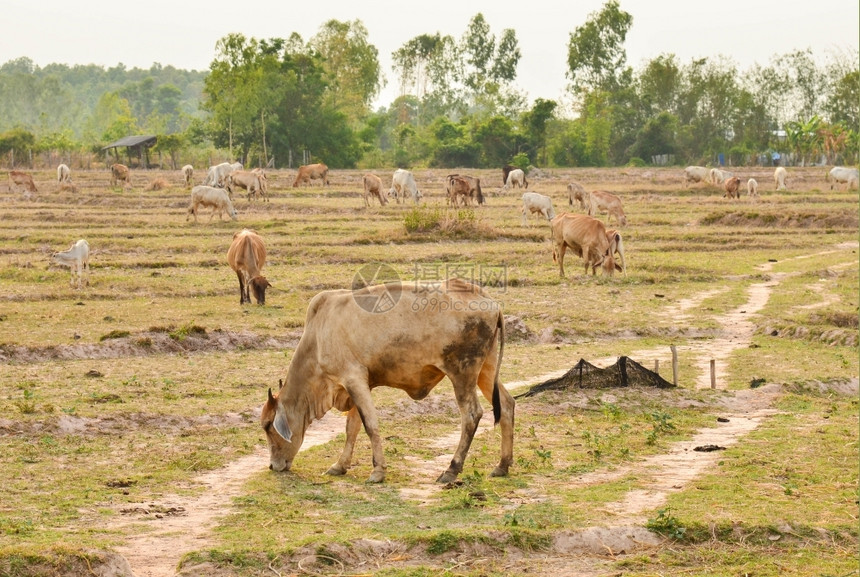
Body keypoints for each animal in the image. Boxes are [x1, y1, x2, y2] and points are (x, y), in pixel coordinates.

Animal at [258, 276, 512, 484]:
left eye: (268, 426)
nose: (272, 465)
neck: (318, 337)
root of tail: (490, 301)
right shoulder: (360, 384)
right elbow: (352, 427)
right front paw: (340, 466)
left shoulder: (354, 379)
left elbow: (370, 425)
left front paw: (378, 471)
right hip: (486, 371)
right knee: (507, 404)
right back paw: (502, 465)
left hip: (462, 373)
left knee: (471, 414)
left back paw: (451, 470)